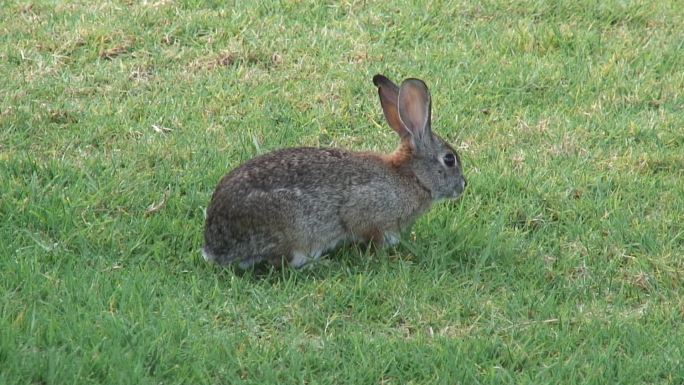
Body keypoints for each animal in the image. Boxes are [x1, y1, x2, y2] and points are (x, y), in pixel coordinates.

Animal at [203, 75, 468, 268]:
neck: (412, 177)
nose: (463, 185)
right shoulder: (367, 210)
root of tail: (214, 245)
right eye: (449, 159)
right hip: (293, 231)